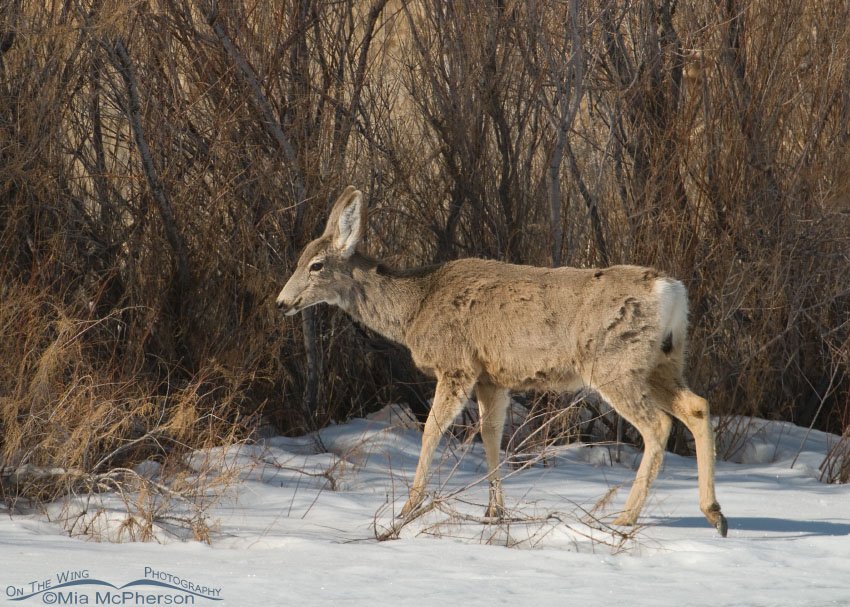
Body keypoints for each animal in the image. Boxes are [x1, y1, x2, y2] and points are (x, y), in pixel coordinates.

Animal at [276, 186, 728, 536]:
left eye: (316, 265)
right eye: (298, 260)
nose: (282, 302)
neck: (415, 307)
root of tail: (670, 290)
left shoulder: (456, 364)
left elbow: (431, 432)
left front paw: (407, 509)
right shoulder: (491, 377)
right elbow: (492, 436)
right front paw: (495, 511)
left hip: (614, 363)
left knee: (659, 425)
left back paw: (625, 517)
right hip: (662, 362)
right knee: (697, 406)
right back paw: (714, 514)